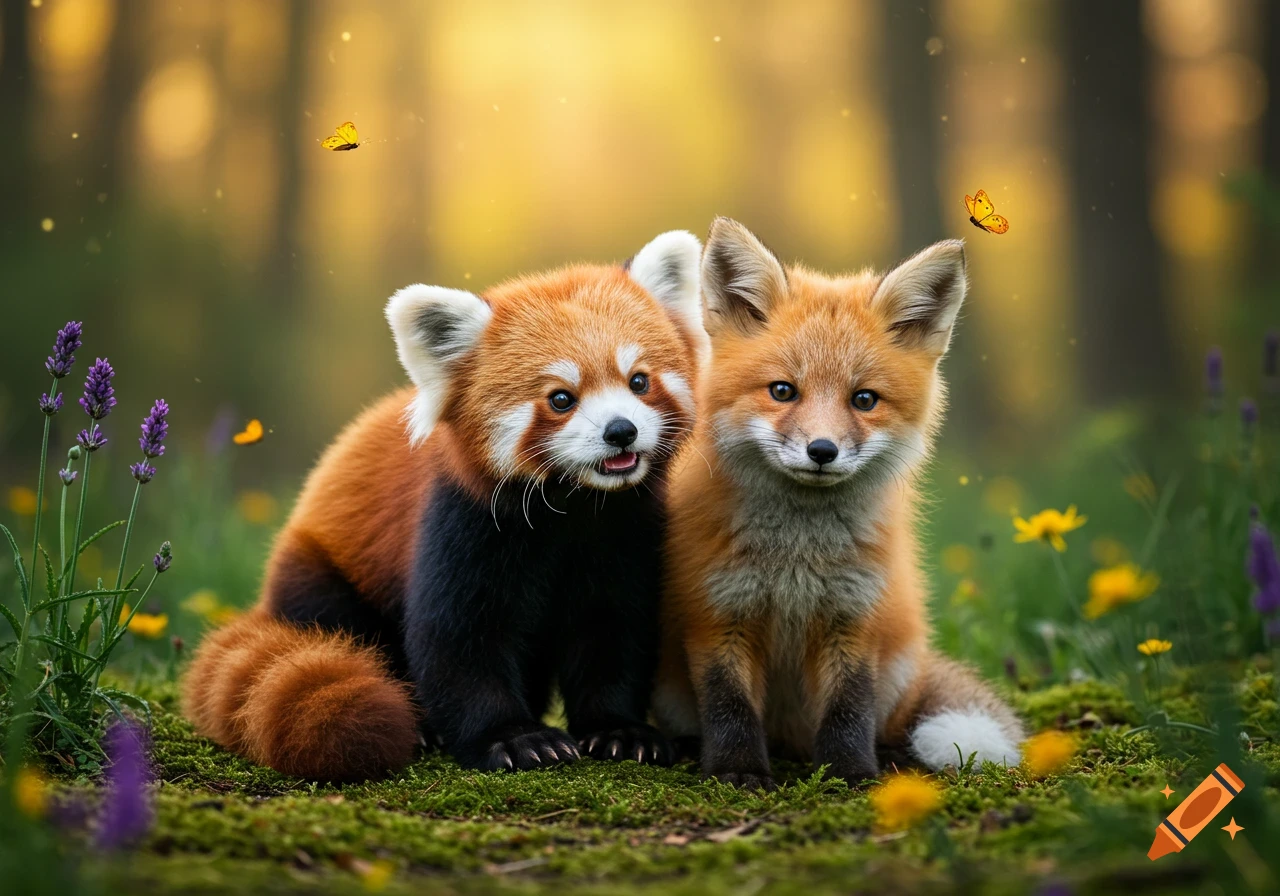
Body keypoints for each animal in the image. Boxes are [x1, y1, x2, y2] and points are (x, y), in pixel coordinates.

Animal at [183, 231, 705, 781]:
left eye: (639, 381)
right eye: (561, 398)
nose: (621, 431)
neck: (573, 507)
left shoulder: (624, 536)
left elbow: (613, 632)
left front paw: (619, 731)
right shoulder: (463, 523)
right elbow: (458, 642)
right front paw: (514, 738)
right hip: (321, 579)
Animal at [653, 218, 1024, 789]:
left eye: (864, 399)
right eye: (782, 391)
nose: (822, 451)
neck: (796, 559)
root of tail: (787, 740)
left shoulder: (854, 616)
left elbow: (849, 708)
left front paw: (849, 775)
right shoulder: (717, 613)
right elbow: (729, 706)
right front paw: (737, 770)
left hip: (898, 654)